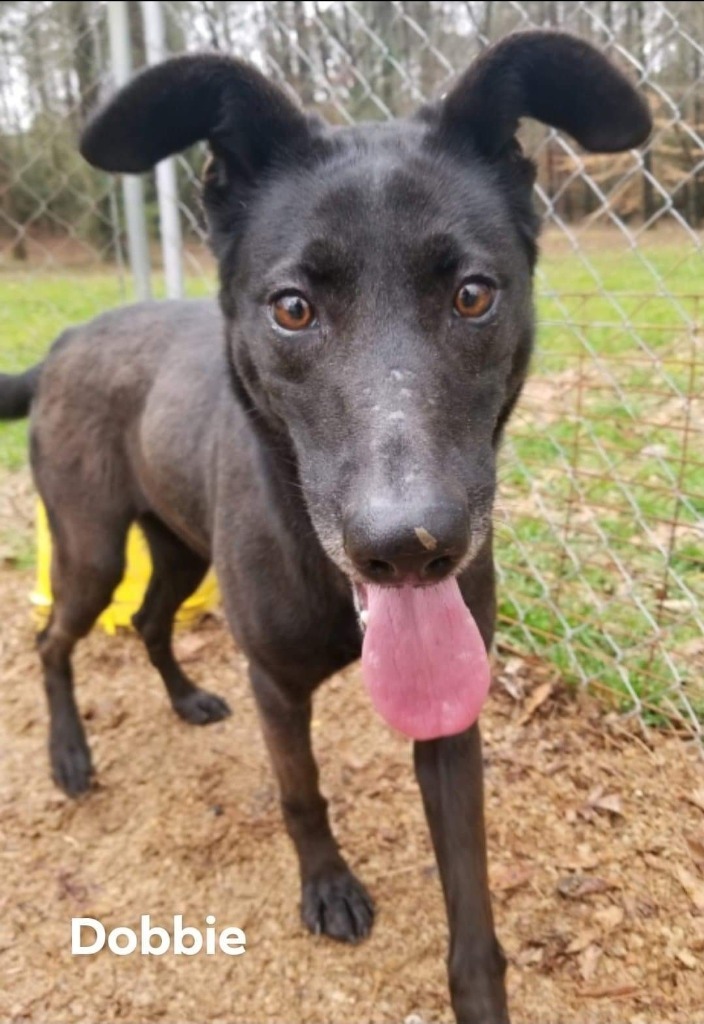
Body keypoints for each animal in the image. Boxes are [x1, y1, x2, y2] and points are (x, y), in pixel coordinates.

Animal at [1, 32, 650, 1024]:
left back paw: (185, 699)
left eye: (473, 295)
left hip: (179, 550)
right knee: (51, 640)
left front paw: (479, 990)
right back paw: (69, 756)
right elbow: (301, 792)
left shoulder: (452, 712)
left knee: (149, 619)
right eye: (293, 308)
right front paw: (328, 886)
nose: (409, 547)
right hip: (90, 547)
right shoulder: (275, 683)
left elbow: (470, 893)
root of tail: (66, 339)